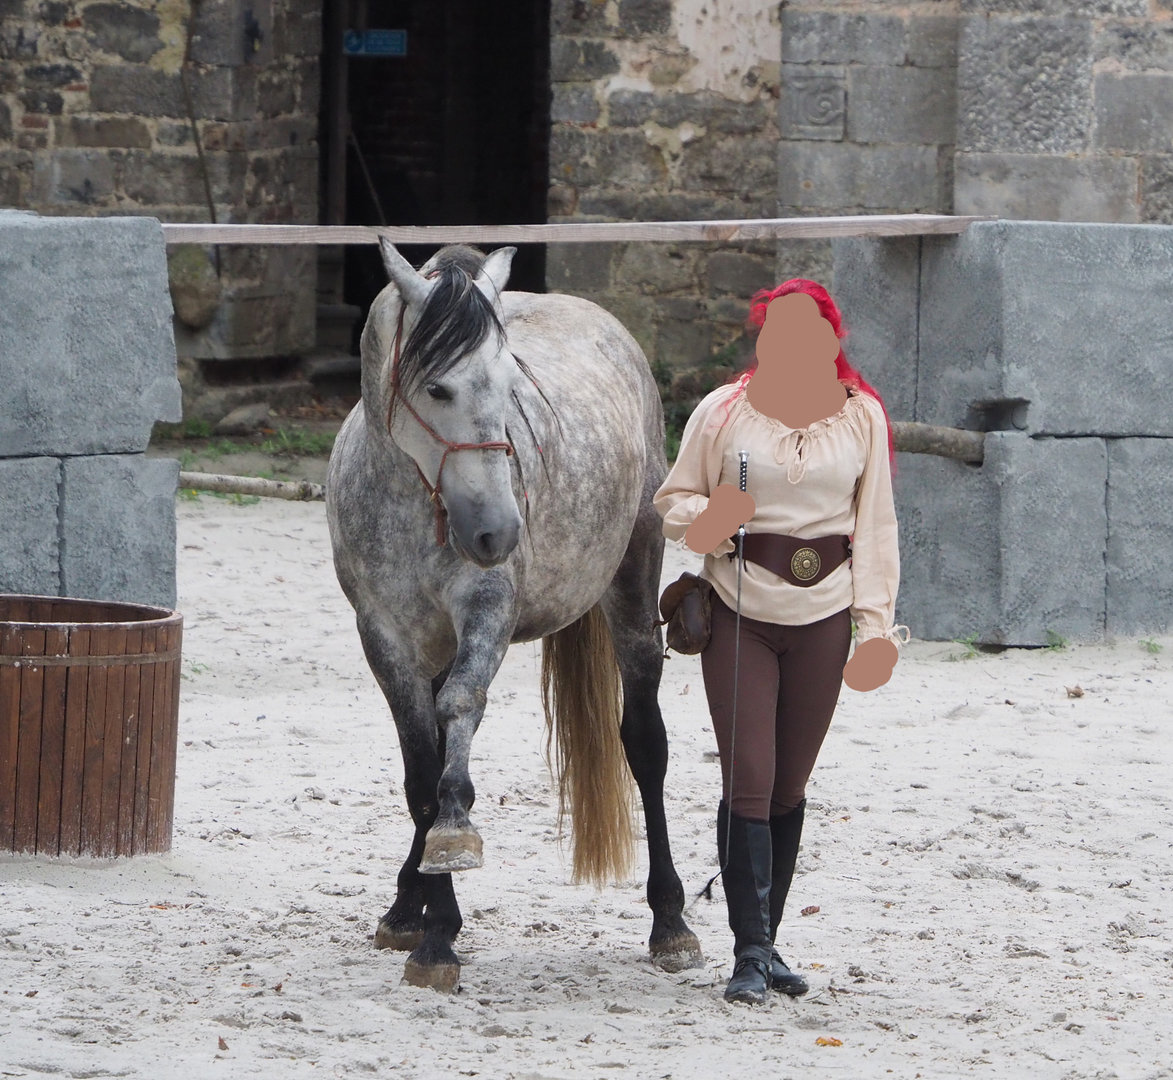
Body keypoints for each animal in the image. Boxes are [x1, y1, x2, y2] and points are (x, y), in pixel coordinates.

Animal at [325, 239, 704, 991]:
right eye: (437, 389)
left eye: (509, 385)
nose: (498, 531)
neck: (411, 498)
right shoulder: (383, 636)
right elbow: (420, 767)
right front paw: (428, 923)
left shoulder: (486, 612)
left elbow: (458, 716)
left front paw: (448, 870)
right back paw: (405, 905)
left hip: (633, 591)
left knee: (645, 746)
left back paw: (671, 922)